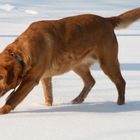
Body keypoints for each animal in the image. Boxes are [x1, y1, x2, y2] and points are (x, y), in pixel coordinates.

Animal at [0, 7, 139, 114]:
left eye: (1, 77)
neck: (20, 53)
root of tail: (107, 20)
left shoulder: (31, 79)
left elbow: (14, 98)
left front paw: (3, 111)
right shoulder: (45, 77)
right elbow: (48, 95)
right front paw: (47, 106)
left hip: (108, 63)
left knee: (121, 82)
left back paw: (119, 104)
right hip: (77, 64)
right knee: (90, 81)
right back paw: (78, 100)